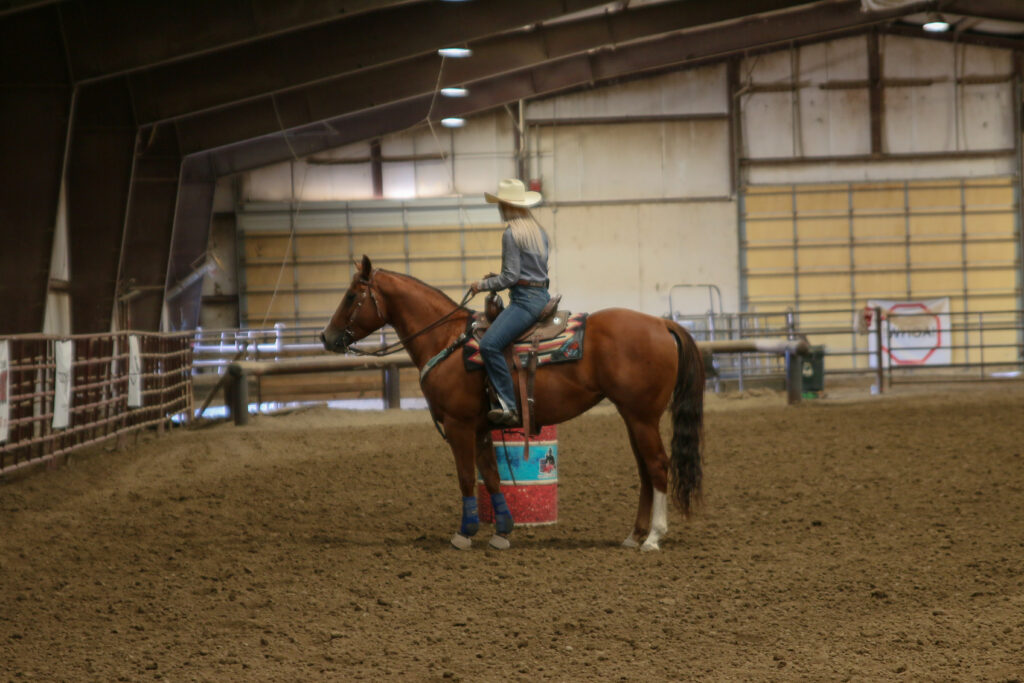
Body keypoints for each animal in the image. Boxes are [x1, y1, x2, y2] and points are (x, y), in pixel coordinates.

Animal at [320, 255, 704, 552]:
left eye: (352, 295)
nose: (326, 337)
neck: (446, 341)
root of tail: (662, 323)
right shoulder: (479, 427)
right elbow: (490, 477)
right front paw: (502, 532)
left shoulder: (459, 425)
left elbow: (465, 477)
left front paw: (464, 534)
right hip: (632, 415)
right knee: (644, 470)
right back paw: (633, 535)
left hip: (642, 416)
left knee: (658, 466)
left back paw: (653, 538)